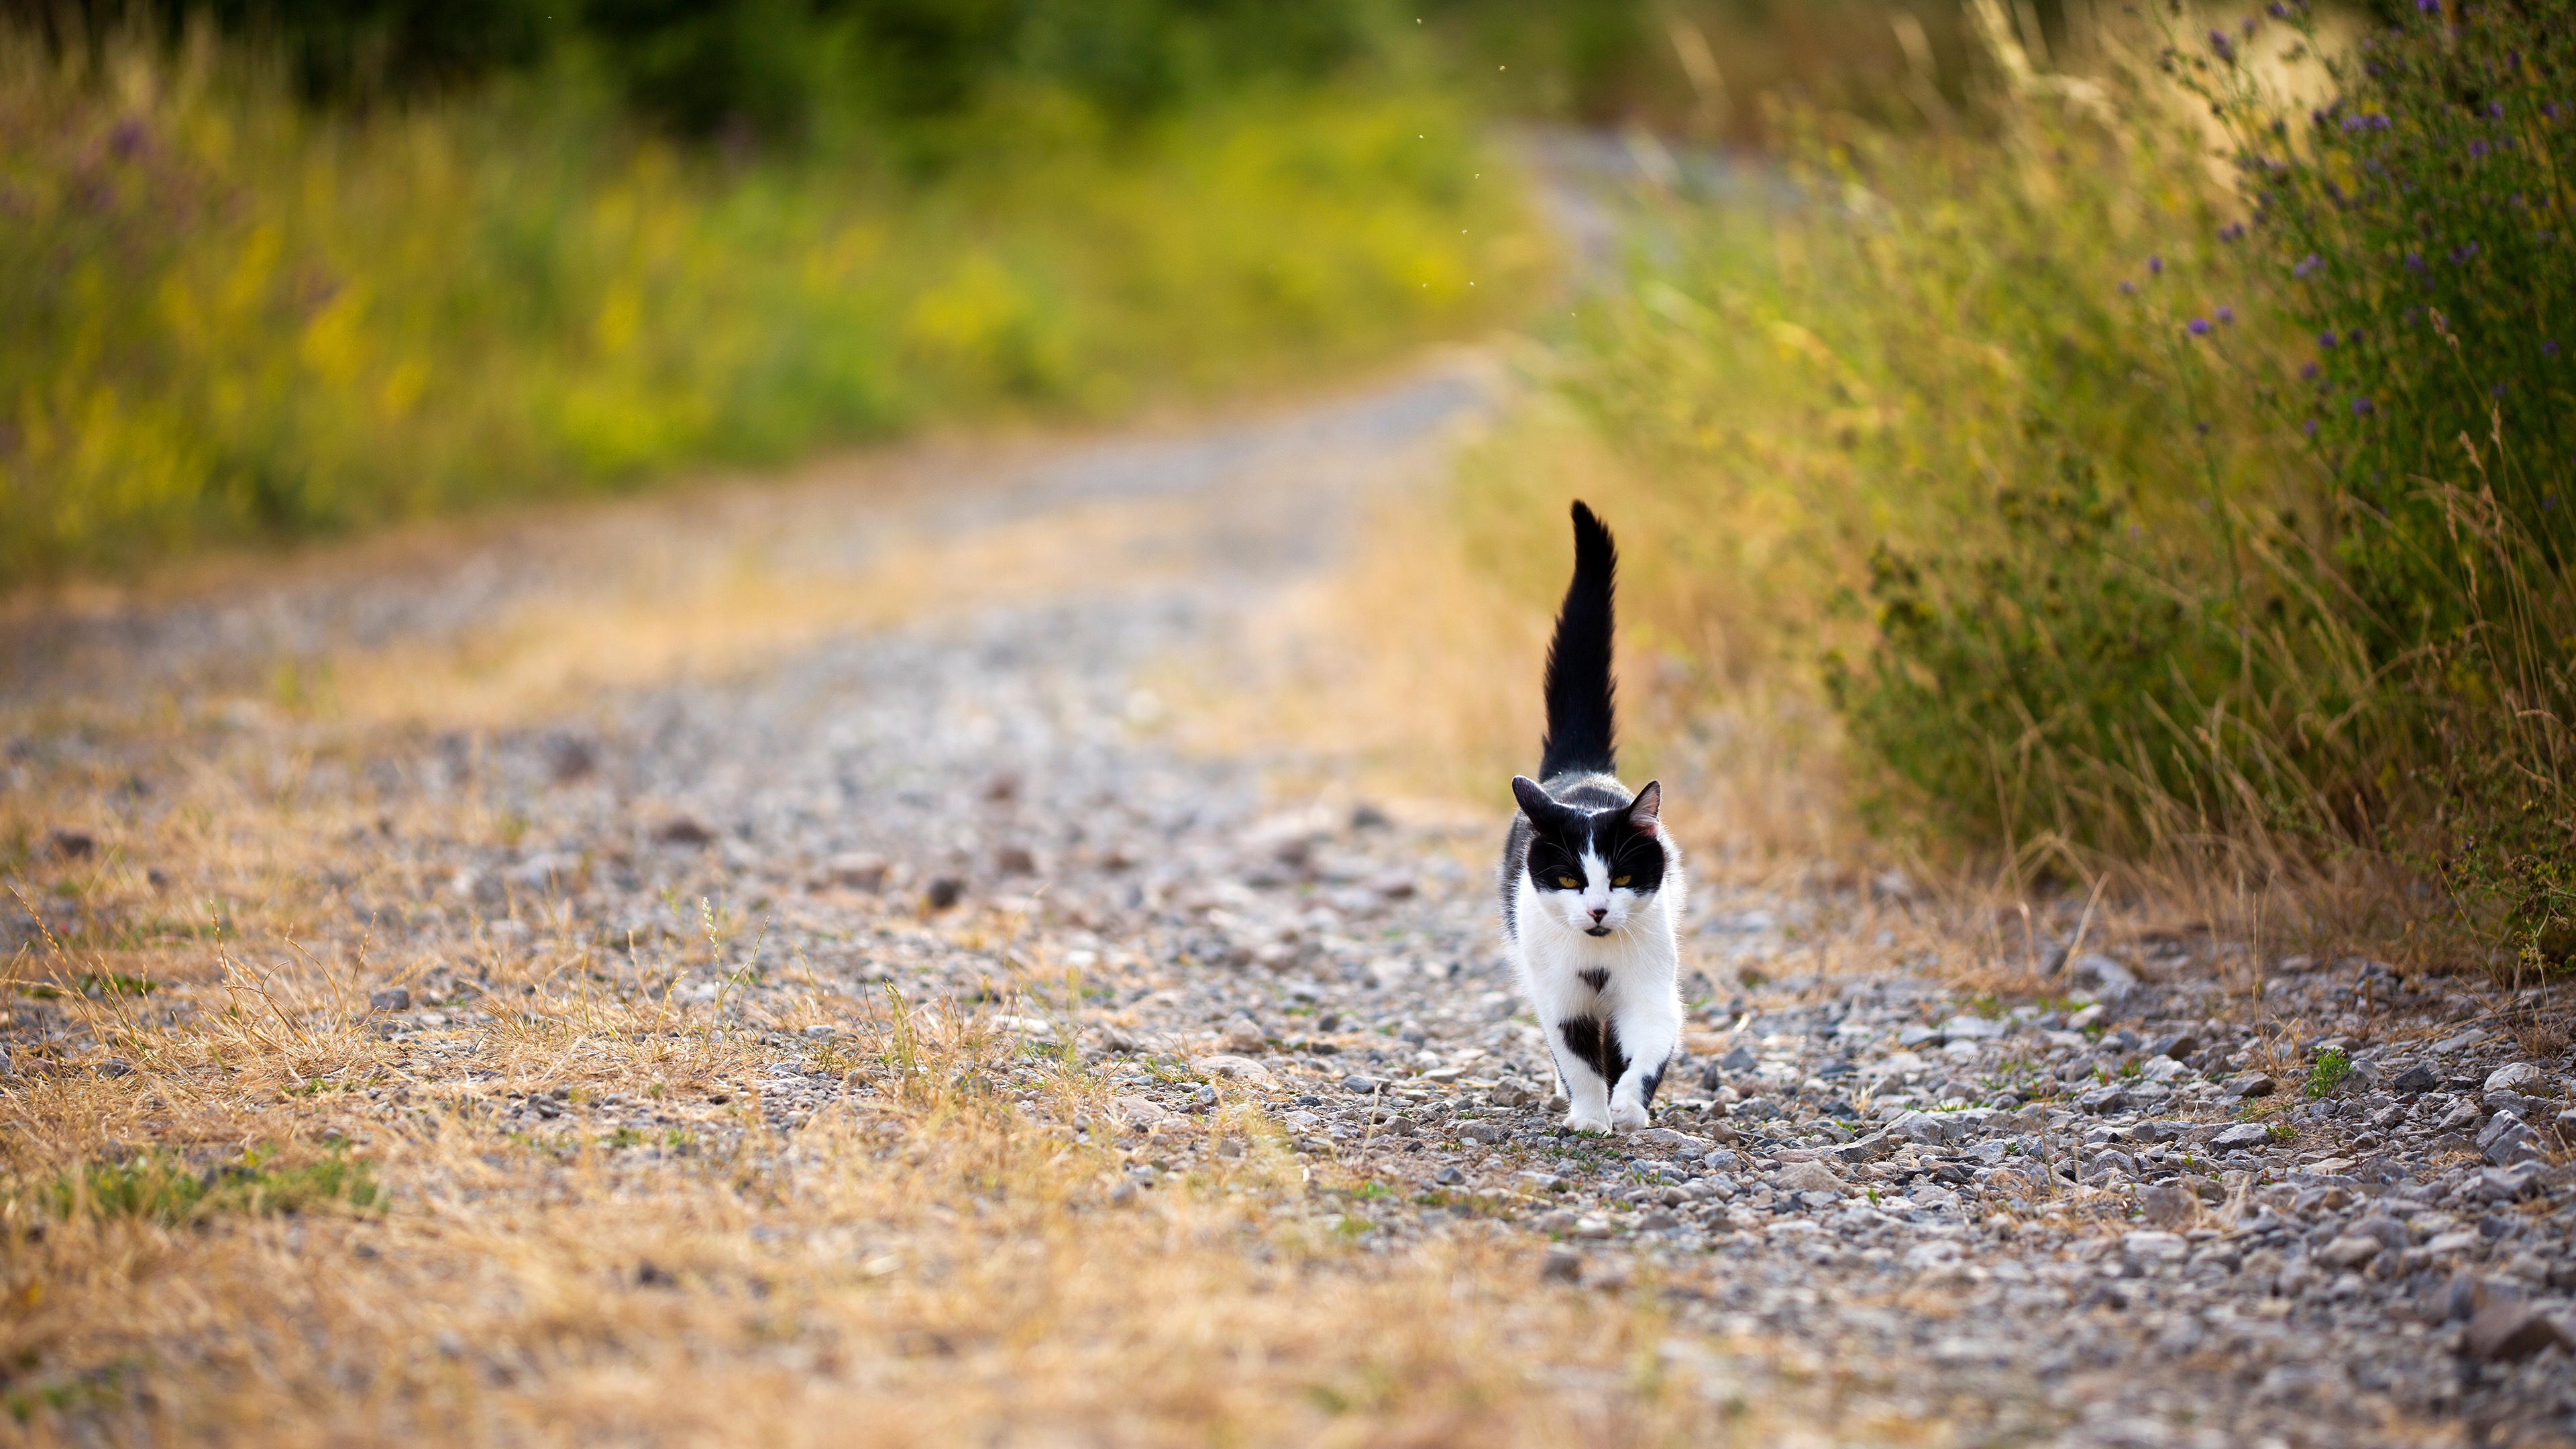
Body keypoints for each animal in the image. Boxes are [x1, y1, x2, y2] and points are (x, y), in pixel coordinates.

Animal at [1494, 502, 1690, 1134]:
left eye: (1623, 877)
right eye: (1567, 879)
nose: (1600, 910)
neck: (1599, 965)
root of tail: (1580, 770)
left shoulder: (1651, 989)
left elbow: (1647, 1049)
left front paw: (1627, 1108)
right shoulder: (1560, 998)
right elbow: (1578, 1058)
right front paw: (1588, 1116)